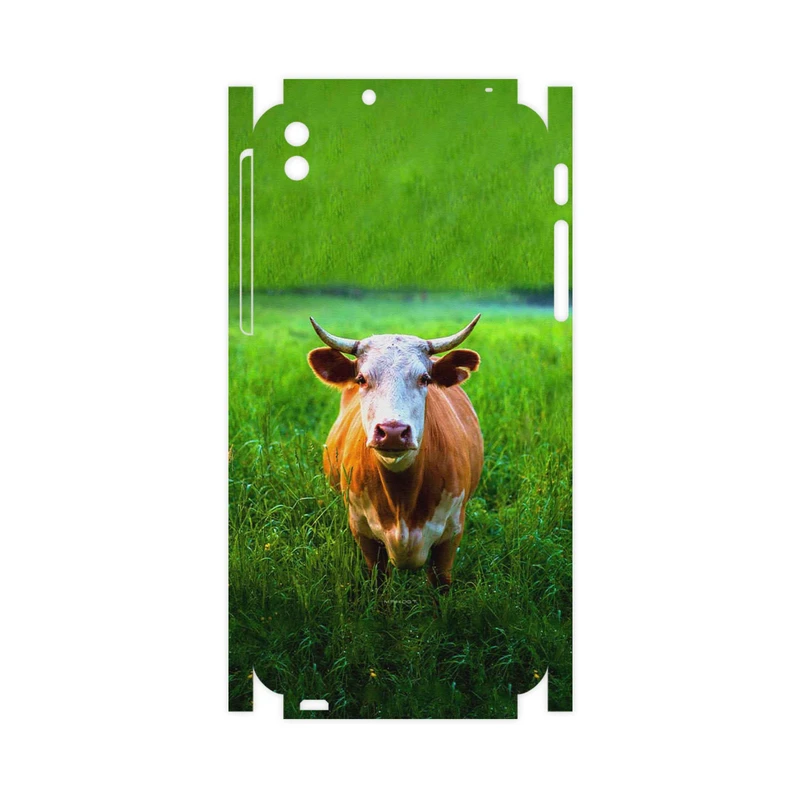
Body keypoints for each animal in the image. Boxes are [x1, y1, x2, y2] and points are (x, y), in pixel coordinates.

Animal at [307, 315, 484, 592]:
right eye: (361, 379)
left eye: (425, 379)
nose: (392, 431)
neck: (403, 499)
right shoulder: (364, 533)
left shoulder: (451, 535)